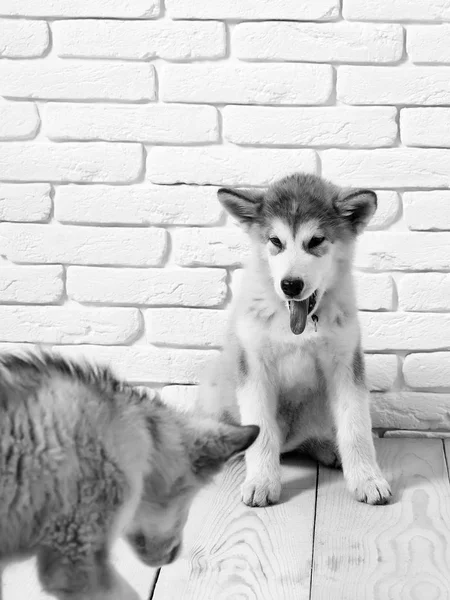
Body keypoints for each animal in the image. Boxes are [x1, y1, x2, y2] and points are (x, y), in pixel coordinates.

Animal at [197, 171, 390, 508]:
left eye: (315, 241)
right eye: (276, 241)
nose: (290, 285)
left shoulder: (345, 365)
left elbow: (356, 428)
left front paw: (367, 479)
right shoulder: (255, 367)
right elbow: (262, 431)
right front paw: (262, 481)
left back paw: (328, 449)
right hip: (215, 388)